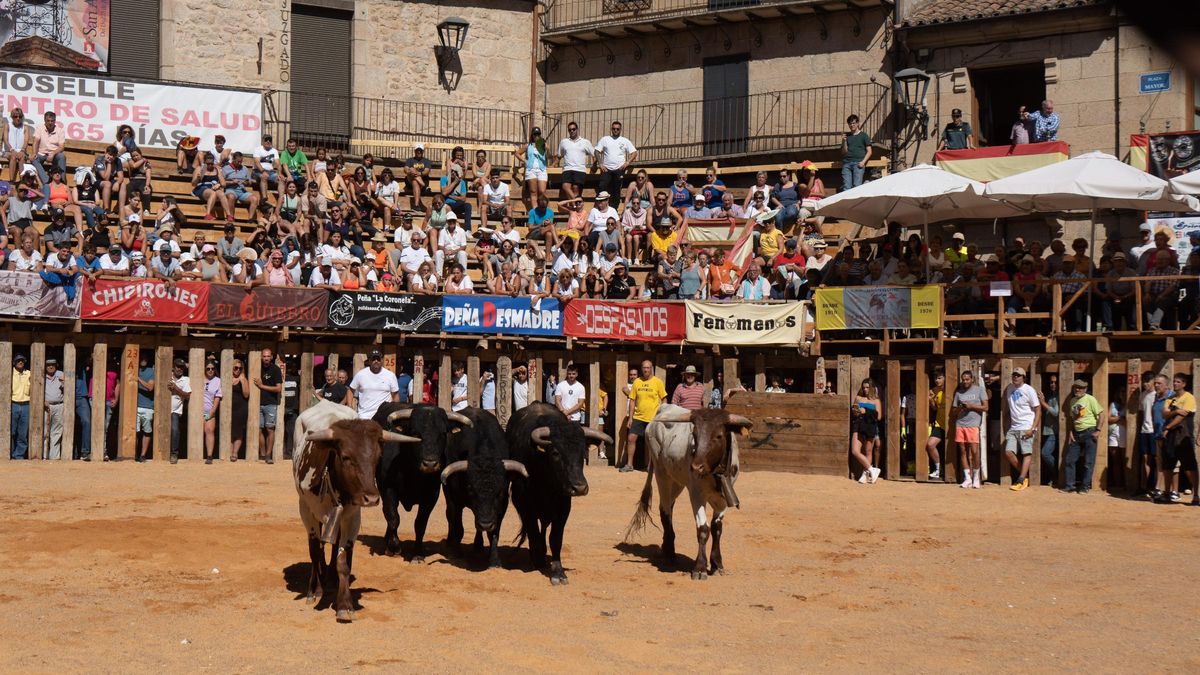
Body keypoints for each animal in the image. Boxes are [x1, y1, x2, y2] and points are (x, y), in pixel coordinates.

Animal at [292, 398, 420, 619]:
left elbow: (344, 560)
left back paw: (331, 577)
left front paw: (344, 604)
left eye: (377, 457)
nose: (372, 498)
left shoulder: (351, 517)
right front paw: (314, 591)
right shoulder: (306, 512)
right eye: (345, 457)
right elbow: (314, 551)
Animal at [369, 401, 472, 559]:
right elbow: (393, 518)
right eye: (415, 434)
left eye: (443, 434)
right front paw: (394, 548)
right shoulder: (388, 489)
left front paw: (417, 554)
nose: (430, 464)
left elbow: (420, 523)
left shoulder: (431, 495)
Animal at [439, 403, 528, 566]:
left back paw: (478, 545)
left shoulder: (501, 505)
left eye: (499, 492)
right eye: (471, 489)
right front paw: (456, 553)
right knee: (450, 519)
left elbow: (494, 533)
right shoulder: (454, 500)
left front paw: (494, 560)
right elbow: (457, 526)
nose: (485, 523)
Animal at [508, 398, 614, 583]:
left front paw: (558, 571)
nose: (579, 487)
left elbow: (555, 538)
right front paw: (538, 559)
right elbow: (534, 533)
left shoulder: (564, 506)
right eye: (556, 453)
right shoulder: (524, 504)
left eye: (582, 453)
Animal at [628, 401, 748, 581]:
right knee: (665, 511)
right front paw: (700, 568)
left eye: (719, 435)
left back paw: (666, 546)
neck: (714, 472)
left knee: (669, 506)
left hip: (677, 481)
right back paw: (670, 553)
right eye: (695, 434)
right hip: (662, 474)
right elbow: (703, 529)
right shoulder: (696, 494)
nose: (696, 466)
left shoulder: (723, 499)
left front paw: (717, 563)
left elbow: (717, 528)